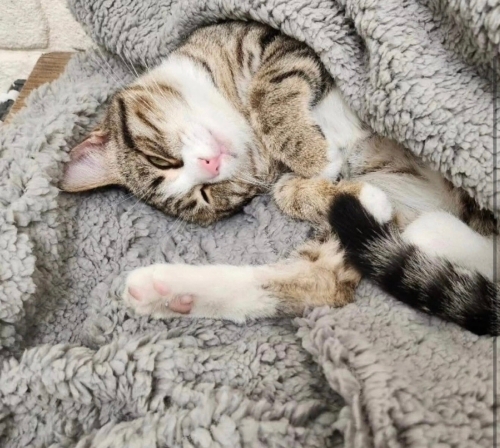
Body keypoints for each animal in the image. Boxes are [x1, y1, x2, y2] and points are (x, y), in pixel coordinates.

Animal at [61, 21, 499, 335]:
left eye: (160, 160)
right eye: (207, 196)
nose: (210, 166)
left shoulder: (281, 42)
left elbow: (268, 88)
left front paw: (310, 152)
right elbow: (286, 193)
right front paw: (337, 184)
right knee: (320, 279)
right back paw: (166, 291)